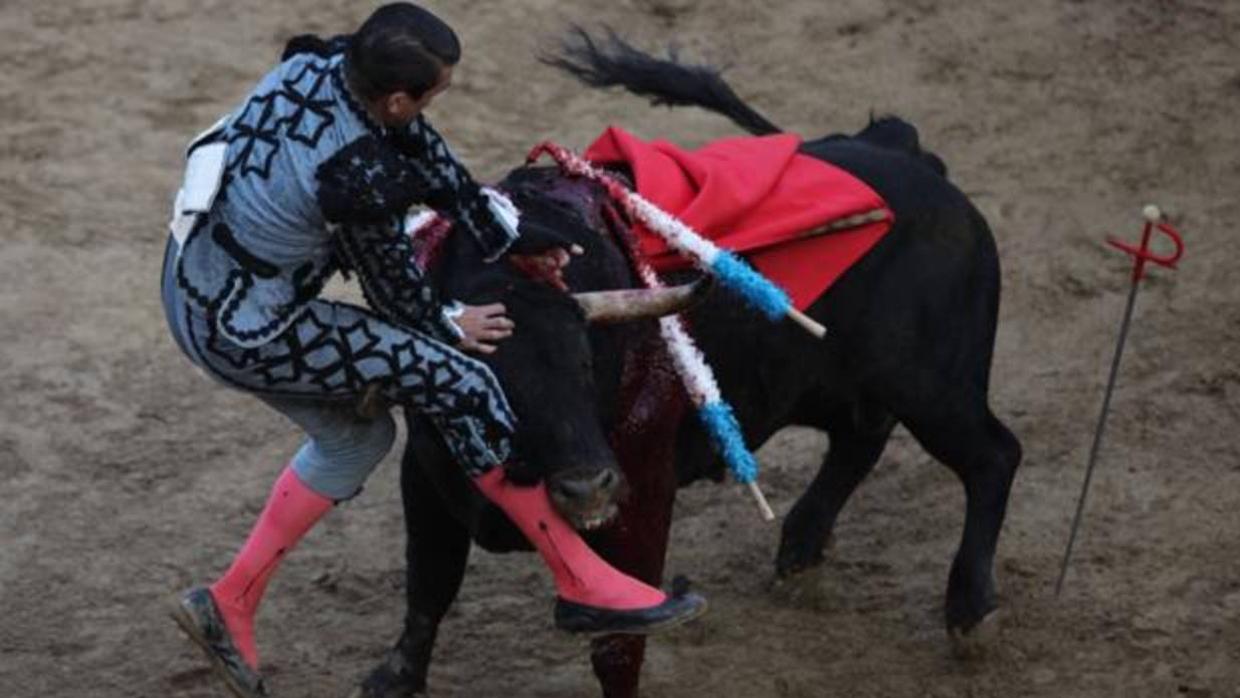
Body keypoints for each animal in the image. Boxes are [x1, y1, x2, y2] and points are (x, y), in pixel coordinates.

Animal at [354, 44, 1021, 698]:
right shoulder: (426, 472)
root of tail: (904, 152)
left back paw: (969, 612)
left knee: (992, 455)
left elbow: (619, 641)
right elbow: (430, 581)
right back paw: (801, 553)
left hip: (933, 386)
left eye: (588, 361)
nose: (586, 488)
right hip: (838, 383)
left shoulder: (644, 491)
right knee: (862, 436)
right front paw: (395, 678)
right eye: (492, 383)